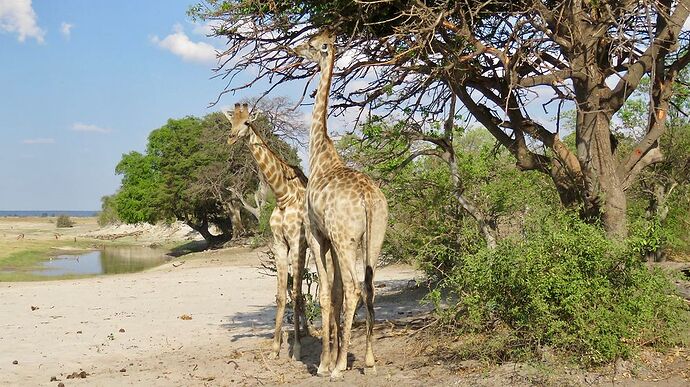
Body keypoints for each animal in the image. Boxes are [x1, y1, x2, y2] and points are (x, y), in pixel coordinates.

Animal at [222, 102, 308, 360]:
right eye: (231, 121)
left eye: (247, 121)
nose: (231, 137)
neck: (283, 195)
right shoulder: (280, 243)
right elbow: (281, 295)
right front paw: (275, 347)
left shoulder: (297, 241)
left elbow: (296, 294)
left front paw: (296, 349)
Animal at [292, 31, 388, 380]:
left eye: (311, 43)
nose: (294, 48)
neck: (319, 155)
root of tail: (368, 199)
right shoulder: (332, 241)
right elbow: (333, 294)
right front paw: (333, 358)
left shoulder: (317, 235)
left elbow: (325, 294)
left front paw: (324, 364)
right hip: (373, 238)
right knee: (369, 287)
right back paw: (370, 361)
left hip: (346, 239)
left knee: (354, 287)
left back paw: (340, 367)